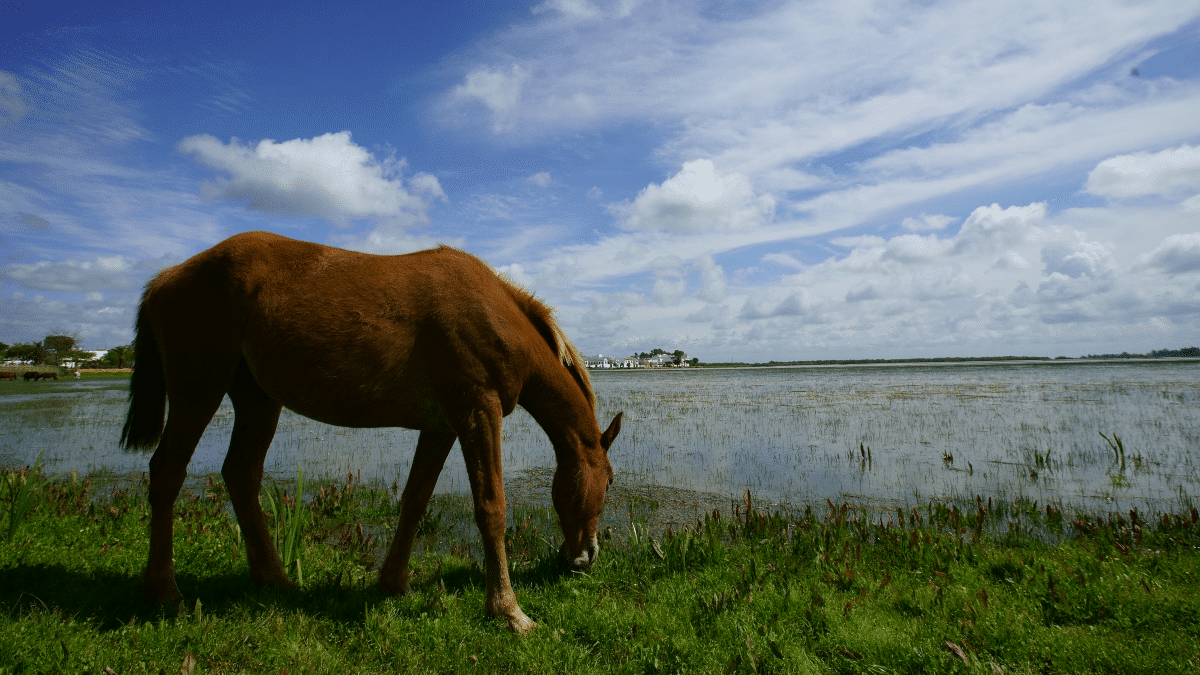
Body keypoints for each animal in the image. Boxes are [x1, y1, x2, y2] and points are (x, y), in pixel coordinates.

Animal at [123, 233, 624, 629]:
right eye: (610, 481)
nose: (587, 556)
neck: (494, 311)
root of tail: (166, 278)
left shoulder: (441, 427)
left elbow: (415, 501)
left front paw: (393, 583)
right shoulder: (478, 415)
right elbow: (491, 509)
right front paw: (508, 610)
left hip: (257, 400)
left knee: (240, 476)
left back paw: (275, 578)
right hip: (198, 392)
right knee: (167, 474)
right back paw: (165, 590)